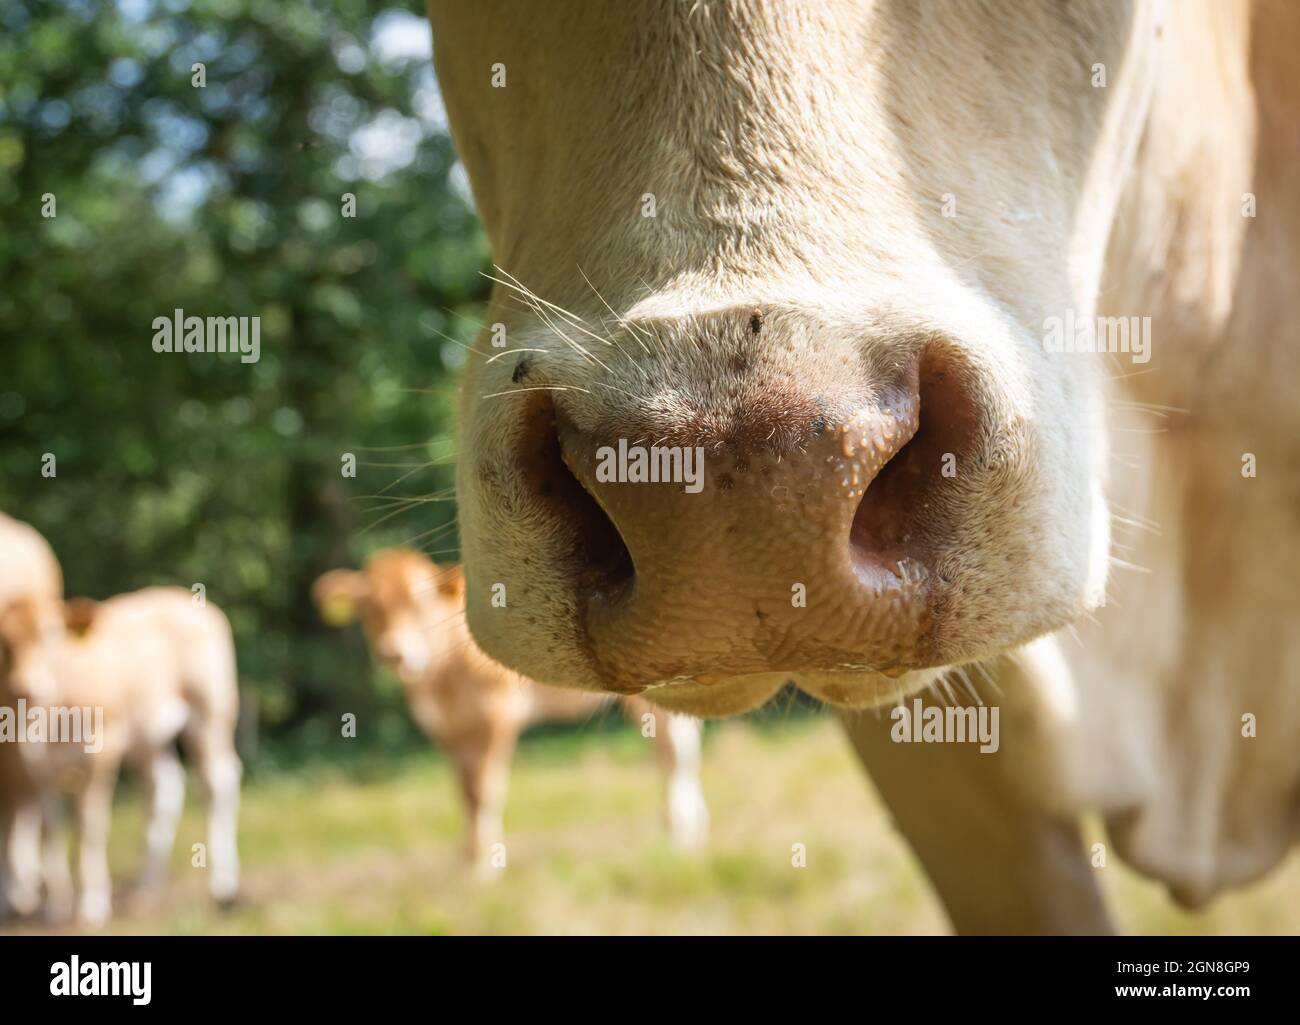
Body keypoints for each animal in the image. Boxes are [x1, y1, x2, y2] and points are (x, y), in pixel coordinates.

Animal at [0, 588, 242, 925]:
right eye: (5, 643)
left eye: (51, 635)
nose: (25, 686)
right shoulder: (36, 767)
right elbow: (50, 828)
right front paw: (56, 908)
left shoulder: (104, 749)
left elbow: (89, 824)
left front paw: (91, 905)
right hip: (149, 738)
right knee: (164, 791)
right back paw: (147, 889)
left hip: (209, 714)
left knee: (218, 784)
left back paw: (223, 888)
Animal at [313, 548, 709, 866]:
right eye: (368, 608)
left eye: (420, 605)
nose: (394, 654)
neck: (440, 676)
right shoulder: (444, 727)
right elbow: (463, 790)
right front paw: (465, 860)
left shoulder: (496, 714)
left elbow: (484, 789)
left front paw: (485, 864)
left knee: (676, 751)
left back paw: (680, 834)